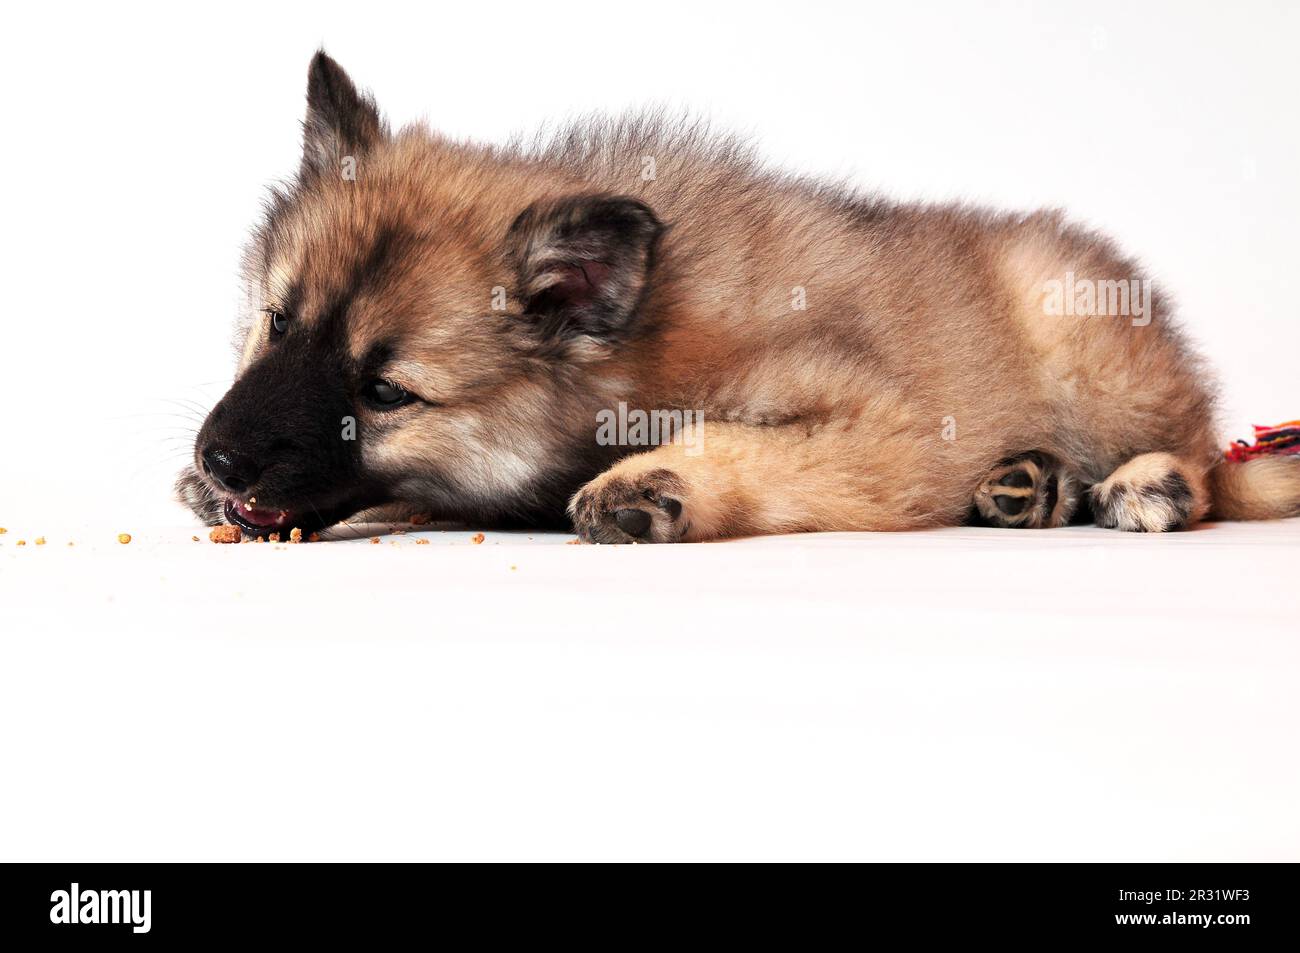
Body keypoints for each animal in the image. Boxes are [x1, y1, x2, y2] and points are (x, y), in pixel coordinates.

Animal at [178, 51, 1300, 541]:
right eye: (276, 320)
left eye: (385, 392)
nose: (218, 455)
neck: (641, 333)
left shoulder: (887, 426)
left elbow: (731, 438)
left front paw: (653, 479)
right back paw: (1033, 483)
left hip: (1082, 339)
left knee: (1208, 460)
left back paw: (1142, 484)